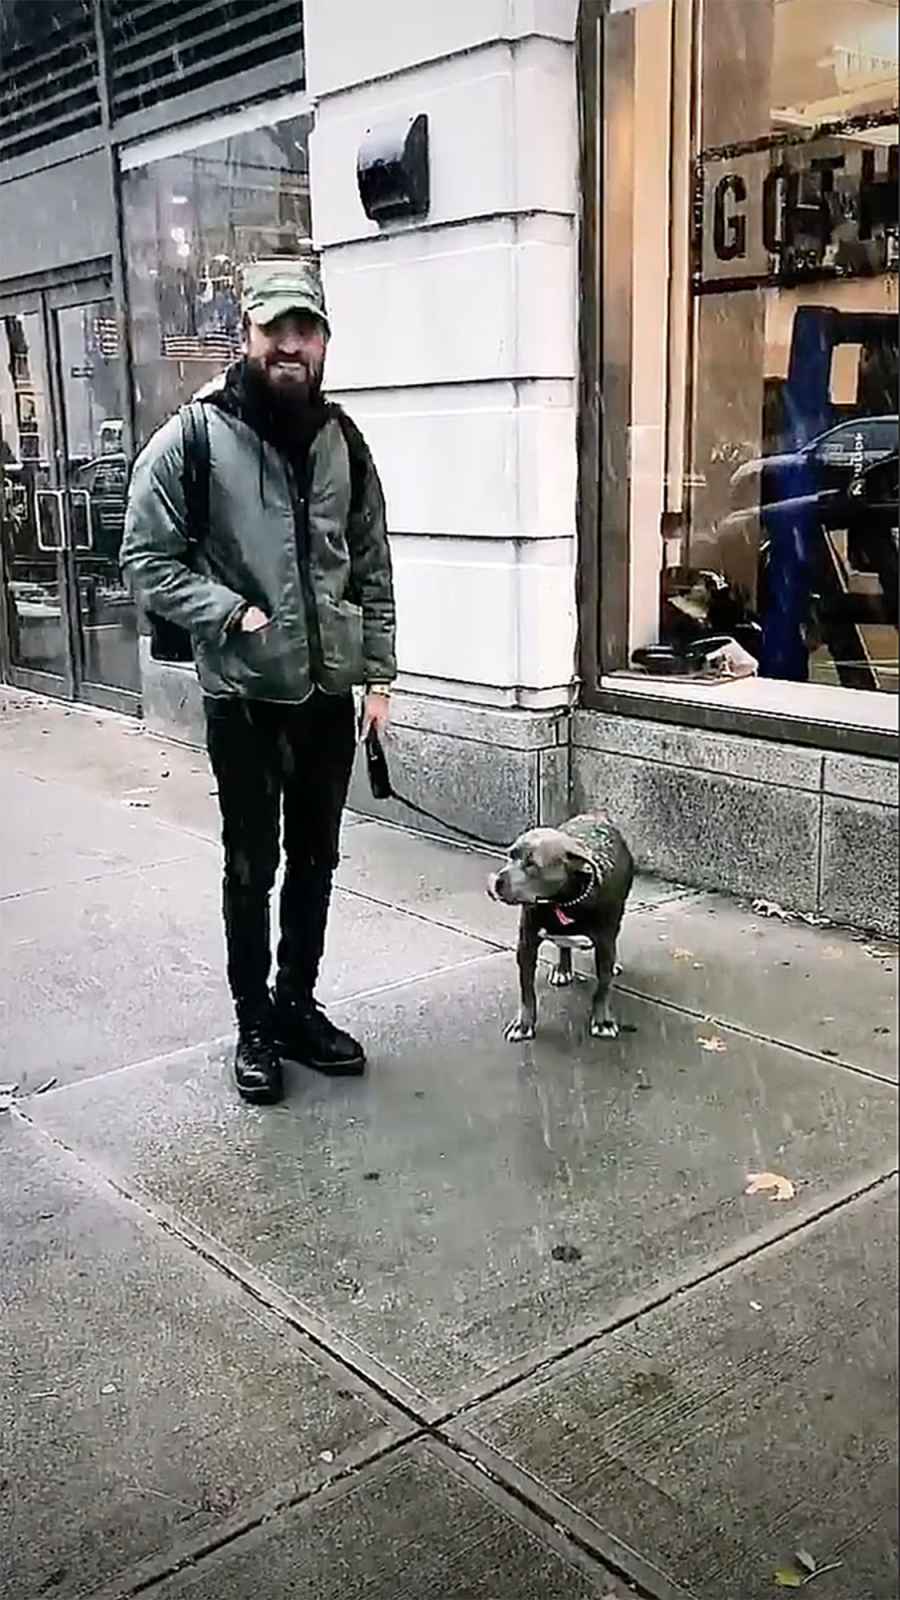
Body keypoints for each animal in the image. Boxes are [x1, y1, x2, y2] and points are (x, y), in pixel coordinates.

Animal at [483, 819, 630, 1043]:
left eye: (532, 863)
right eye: (510, 855)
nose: (495, 882)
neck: (564, 900)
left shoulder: (605, 944)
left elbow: (603, 987)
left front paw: (602, 1021)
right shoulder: (526, 946)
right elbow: (527, 992)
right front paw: (523, 1024)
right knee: (564, 946)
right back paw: (563, 968)